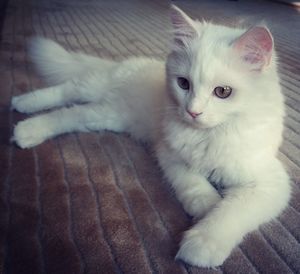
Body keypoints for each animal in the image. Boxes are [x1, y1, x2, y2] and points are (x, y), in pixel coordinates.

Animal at [11, 4, 290, 268]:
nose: (193, 111)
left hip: (103, 115)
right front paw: (206, 210)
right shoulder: (169, 153)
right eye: (183, 84)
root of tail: (122, 66)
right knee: (66, 91)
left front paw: (204, 237)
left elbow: (231, 211)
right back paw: (21, 108)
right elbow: (194, 185)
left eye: (223, 92)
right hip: (94, 91)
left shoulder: (268, 182)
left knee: (68, 113)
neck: (208, 135)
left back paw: (27, 128)